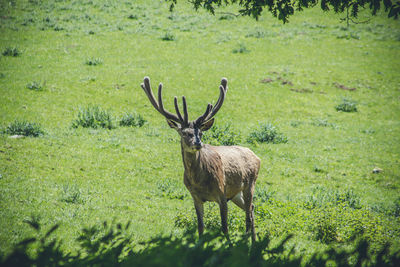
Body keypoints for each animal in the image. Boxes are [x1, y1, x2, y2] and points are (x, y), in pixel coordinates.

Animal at [141, 76, 262, 242]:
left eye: (201, 133)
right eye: (185, 133)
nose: (198, 143)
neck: (199, 182)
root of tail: (256, 156)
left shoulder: (222, 193)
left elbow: (225, 228)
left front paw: (229, 245)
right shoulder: (196, 197)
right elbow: (200, 227)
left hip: (250, 184)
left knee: (249, 213)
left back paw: (249, 241)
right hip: (236, 193)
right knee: (251, 208)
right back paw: (253, 241)